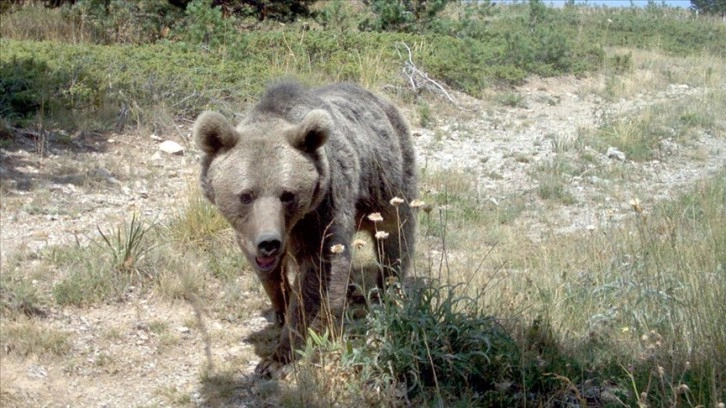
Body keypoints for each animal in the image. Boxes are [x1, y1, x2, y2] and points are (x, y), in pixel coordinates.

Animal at [195, 81, 420, 378]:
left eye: (287, 194)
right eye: (246, 195)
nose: (269, 242)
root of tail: (381, 99)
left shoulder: (323, 208)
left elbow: (319, 274)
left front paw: (279, 357)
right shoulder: (251, 232)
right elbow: (268, 274)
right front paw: (280, 307)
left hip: (388, 177)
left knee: (395, 235)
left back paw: (387, 292)